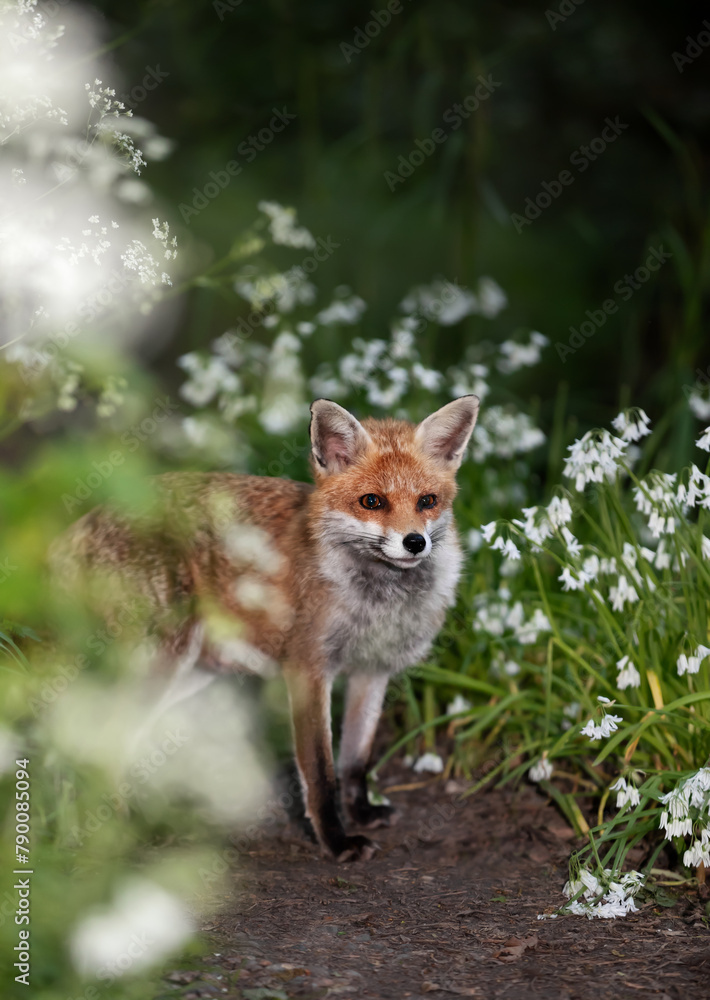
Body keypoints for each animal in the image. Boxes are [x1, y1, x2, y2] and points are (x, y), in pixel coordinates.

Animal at [51, 394, 479, 861]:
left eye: (427, 500)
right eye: (372, 501)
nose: (415, 542)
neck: (379, 601)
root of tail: (81, 523)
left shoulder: (373, 670)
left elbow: (356, 760)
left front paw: (363, 813)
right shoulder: (308, 669)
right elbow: (321, 773)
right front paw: (337, 842)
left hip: (192, 671)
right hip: (165, 659)